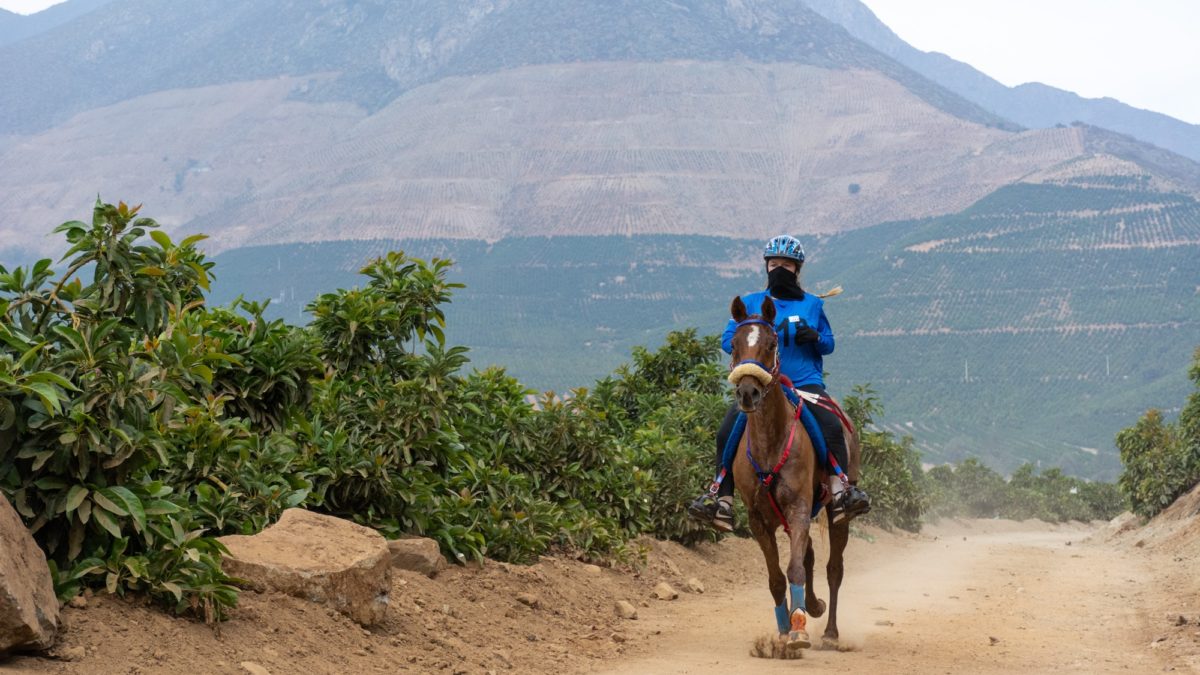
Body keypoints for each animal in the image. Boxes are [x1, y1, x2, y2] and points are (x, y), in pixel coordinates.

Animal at [720, 294, 864, 653]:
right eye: (734, 345)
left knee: (833, 568)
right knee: (811, 554)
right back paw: (812, 606)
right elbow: (776, 578)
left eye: (772, 343)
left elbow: (795, 568)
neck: (770, 442)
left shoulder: (798, 508)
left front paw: (799, 631)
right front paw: (784, 630)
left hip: (837, 511)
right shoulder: (759, 519)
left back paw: (829, 632)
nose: (748, 393)